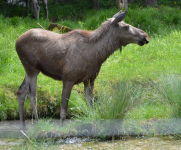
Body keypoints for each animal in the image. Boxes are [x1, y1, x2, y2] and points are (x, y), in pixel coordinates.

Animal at [15, 10, 148, 130]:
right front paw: (61, 128)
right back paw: (37, 123)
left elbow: (90, 107)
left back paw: (23, 127)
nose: (145, 36)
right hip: (32, 69)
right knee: (32, 95)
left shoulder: (90, 80)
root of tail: (16, 42)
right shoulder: (68, 79)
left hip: (29, 70)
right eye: (126, 26)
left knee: (21, 92)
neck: (96, 55)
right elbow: (63, 110)